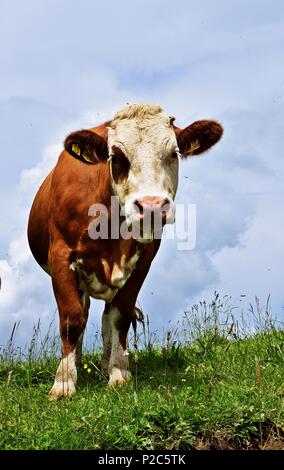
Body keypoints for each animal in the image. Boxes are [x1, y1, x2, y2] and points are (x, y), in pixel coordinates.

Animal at [27, 104, 223, 398]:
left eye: (173, 153)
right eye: (117, 156)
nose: (152, 206)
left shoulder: (143, 261)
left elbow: (120, 317)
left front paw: (118, 373)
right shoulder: (61, 256)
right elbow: (72, 319)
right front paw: (63, 383)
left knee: (107, 317)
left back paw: (105, 362)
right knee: (83, 312)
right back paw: (78, 362)